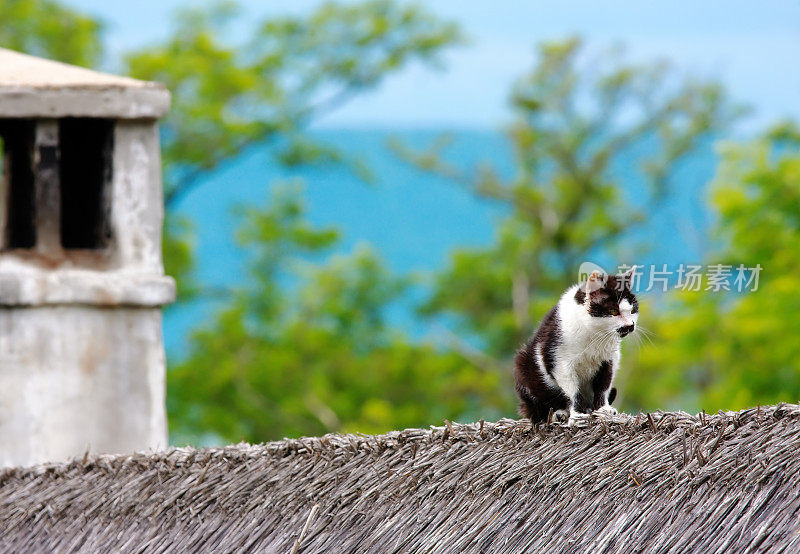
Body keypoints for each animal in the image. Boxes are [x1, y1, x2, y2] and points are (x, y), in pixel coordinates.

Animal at [516, 268, 640, 422]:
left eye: (633, 310)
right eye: (614, 311)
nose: (630, 325)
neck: (595, 335)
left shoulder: (608, 359)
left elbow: (603, 385)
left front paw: (603, 410)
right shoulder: (560, 361)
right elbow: (573, 391)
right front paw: (578, 414)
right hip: (524, 367)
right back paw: (559, 413)